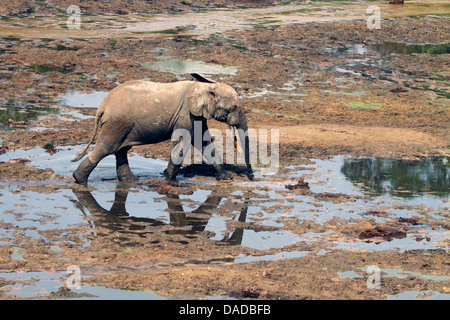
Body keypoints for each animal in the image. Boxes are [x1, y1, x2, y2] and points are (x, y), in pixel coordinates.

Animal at [72, 72, 251, 182]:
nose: (251, 176)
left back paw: (131, 180)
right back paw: (78, 179)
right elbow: (182, 144)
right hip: (117, 123)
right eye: (234, 108)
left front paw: (226, 178)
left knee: (120, 151)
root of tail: (102, 106)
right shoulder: (186, 114)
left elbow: (204, 142)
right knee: (105, 148)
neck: (205, 87)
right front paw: (170, 180)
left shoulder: (197, 115)